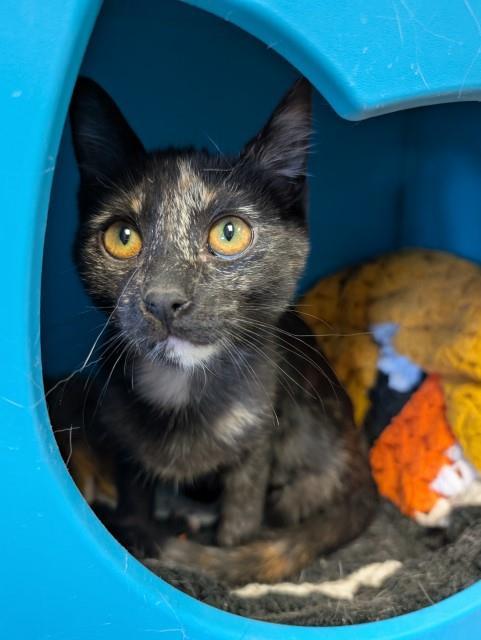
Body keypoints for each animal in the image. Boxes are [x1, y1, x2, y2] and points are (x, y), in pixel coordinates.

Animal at [67, 76, 376, 584]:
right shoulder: (123, 439)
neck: (180, 385)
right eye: (122, 237)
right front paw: (137, 534)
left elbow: (242, 519)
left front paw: (226, 551)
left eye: (229, 233)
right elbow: (134, 501)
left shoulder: (260, 435)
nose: (164, 300)